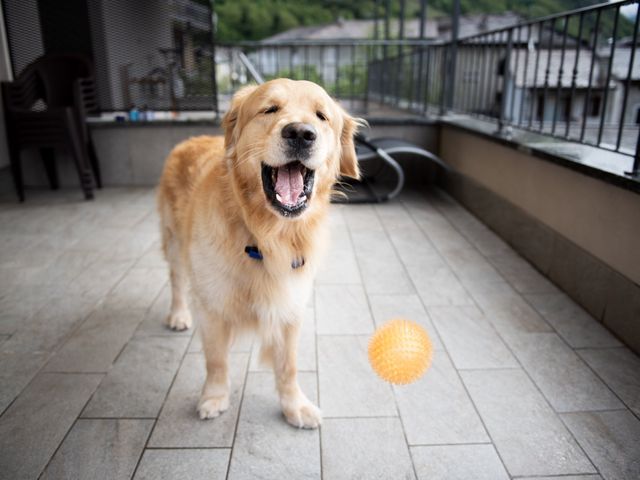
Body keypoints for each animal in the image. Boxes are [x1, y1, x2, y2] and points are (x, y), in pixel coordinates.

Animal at [156, 79, 360, 428]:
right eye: (269, 109)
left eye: (321, 116)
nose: (301, 133)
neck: (267, 235)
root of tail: (188, 140)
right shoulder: (212, 305)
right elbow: (216, 360)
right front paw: (215, 397)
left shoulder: (292, 305)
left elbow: (288, 365)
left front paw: (295, 406)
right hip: (175, 242)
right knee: (177, 279)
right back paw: (179, 314)